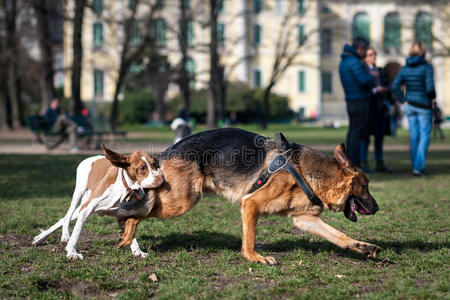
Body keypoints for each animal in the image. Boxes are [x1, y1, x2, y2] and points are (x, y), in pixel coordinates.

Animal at [32, 144, 165, 258]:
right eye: (142, 168)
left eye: (155, 164)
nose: (161, 178)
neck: (127, 188)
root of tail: (92, 158)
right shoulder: (86, 208)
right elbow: (77, 232)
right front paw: (72, 252)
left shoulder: (125, 214)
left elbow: (131, 232)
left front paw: (137, 251)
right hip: (79, 193)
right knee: (67, 216)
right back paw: (64, 236)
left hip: (82, 205)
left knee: (63, 218)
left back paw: (40, 238)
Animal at [116, 127, 380, 264]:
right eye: (366, 185)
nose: (378, 208)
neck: (306, 173)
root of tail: (168, 150)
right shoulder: (251, 204)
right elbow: (249, 239)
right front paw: (254, 257)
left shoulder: (306, 219)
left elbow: (339, 235)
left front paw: (363, 247)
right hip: (182, 200)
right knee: (138, 211)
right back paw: (127, 234)